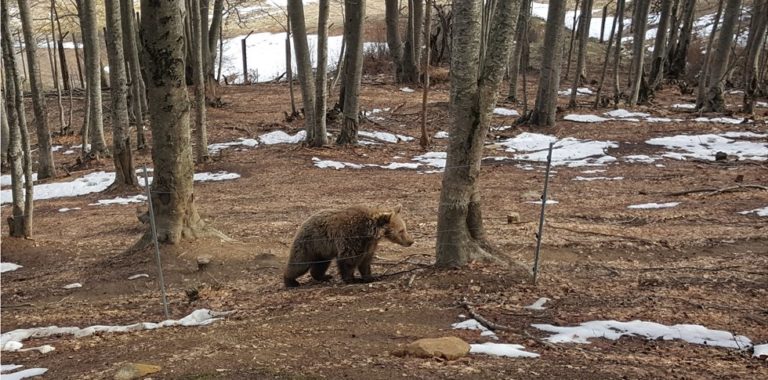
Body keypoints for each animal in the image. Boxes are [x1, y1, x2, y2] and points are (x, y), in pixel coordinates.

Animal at [282, 205, 414, 288]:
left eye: (405, 228)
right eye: (401, 230)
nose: (411, 241)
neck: (370, 232)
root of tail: (304, 222)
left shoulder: (369, 245)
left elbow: (365, 262)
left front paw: (370, 277)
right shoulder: (352, 237)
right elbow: (348, 260)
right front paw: (352, 279)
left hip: (323, 250)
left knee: (321, 264)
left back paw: (324, 276)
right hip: (310, 243)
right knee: (300, 263)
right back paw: (290, 281)